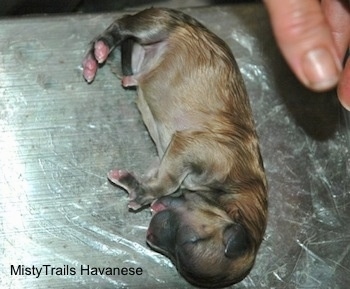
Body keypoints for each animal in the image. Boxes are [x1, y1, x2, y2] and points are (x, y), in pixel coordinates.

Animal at [82, 7, 268, 286]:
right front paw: (145, 194)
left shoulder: (169, 157)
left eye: (179, 260)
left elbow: (158, 176)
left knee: (124, 53)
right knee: (123, 24)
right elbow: (168, 182)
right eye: (192, 241)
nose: (150, 236)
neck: (236, 193)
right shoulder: (193, 147)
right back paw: (101, 49)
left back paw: (100, 58)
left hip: (133, 56)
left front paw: (136, 186)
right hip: (157, 23)